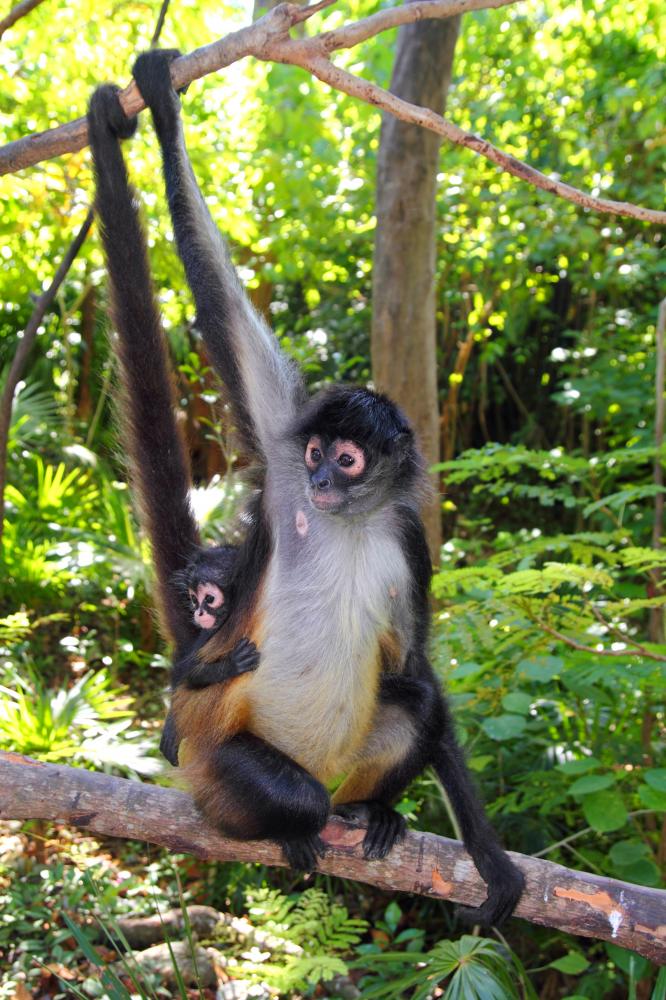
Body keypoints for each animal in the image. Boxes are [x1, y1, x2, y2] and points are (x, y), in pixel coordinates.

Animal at [87, 57, 525, 926]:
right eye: (317, 453)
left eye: (349, 461)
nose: (322, 479)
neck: (348, 524)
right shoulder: (281, 467)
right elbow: (221, 307)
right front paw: (163, 107)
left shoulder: (408, 534)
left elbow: (419, 672)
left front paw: (491, 861)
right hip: (217, 761)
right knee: (291, 792)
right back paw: (289, 826)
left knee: (411, 704)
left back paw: (369, 809)